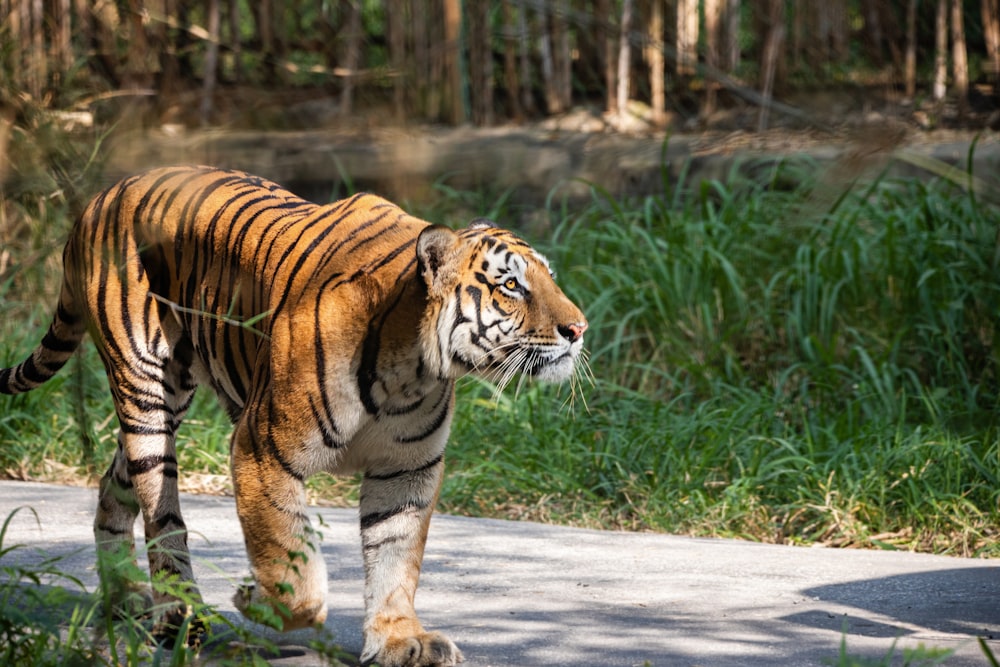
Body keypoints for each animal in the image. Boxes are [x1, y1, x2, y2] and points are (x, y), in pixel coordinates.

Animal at [0, 164, 584, 664]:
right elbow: (289, 561)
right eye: (511, 285)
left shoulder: (407, 470)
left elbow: (396, 559)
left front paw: (401, 640)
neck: (413, 367)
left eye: (549, 279)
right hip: (145, 390)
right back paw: (178, 618)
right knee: (161, 515)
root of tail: (100, 197)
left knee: (111, 485)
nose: (579, 329)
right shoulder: (261, 449)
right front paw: (257, 601)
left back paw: (123, 597)